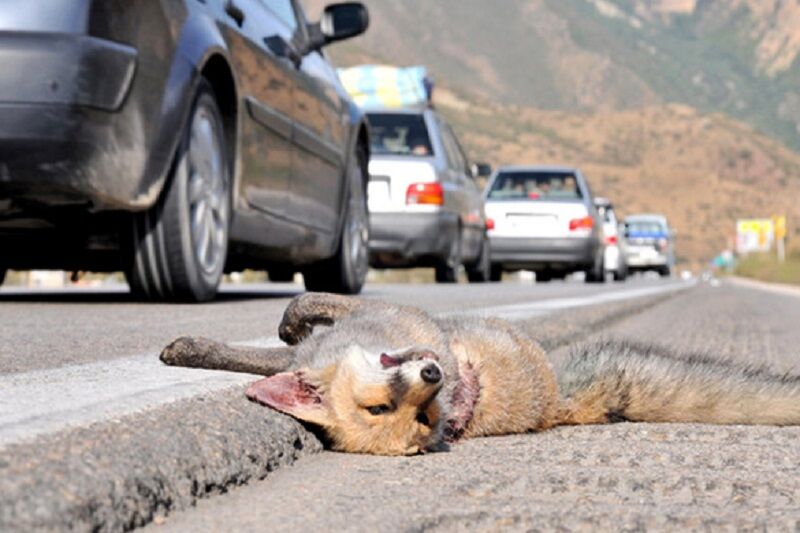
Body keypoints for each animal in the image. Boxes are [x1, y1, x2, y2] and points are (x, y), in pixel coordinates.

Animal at [159, 294, 800, 456]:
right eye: (377, 408)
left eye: (420, 416)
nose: (435, 373)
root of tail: (557, 404)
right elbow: (256, 355)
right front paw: (192, 348)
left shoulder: (382, 308)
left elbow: (301, 306)